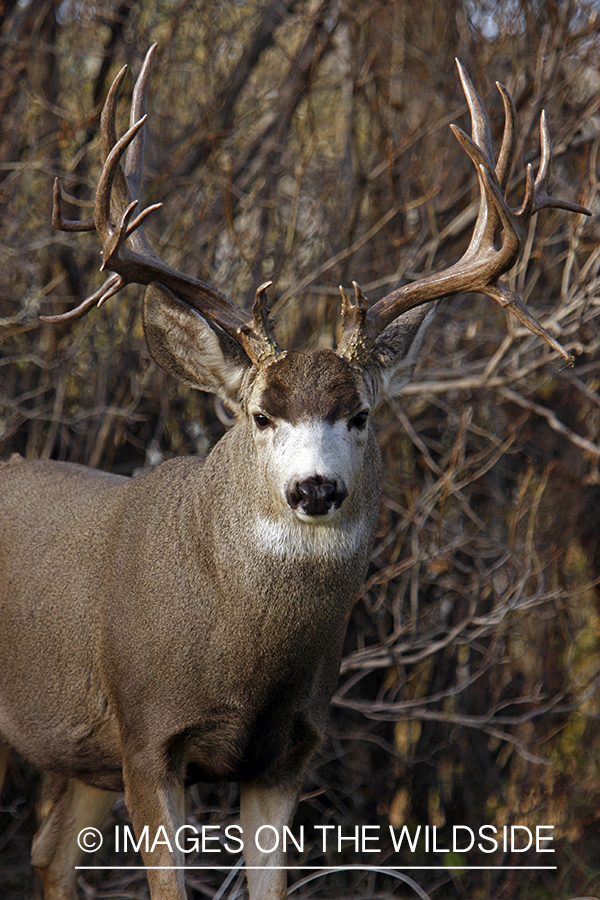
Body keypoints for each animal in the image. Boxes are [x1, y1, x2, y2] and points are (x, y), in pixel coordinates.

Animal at [0, 45, 589, 900]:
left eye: (362, 414)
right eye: (260, 416)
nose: (316, 488)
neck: (249, 663)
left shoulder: (288, 753)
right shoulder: (146, 734)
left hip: (83, 757)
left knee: (50, 849)